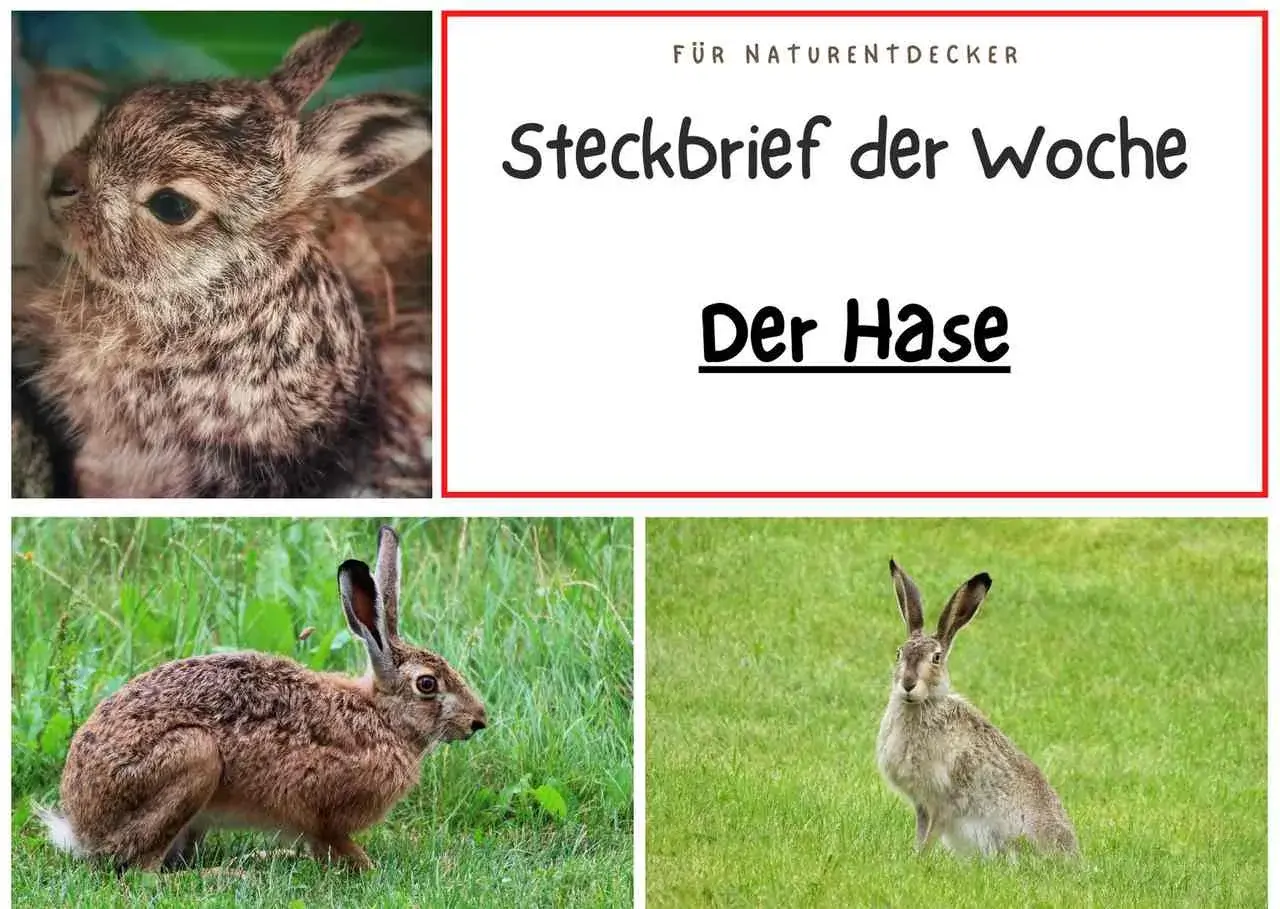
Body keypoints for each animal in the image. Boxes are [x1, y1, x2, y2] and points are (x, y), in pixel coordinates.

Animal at [35, 525, 487, 872]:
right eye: (427, 684)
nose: (479, 721)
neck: (383, 717)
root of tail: (81, 826)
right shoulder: (324, 814)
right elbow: (338, 847)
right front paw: (369, 868)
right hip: (194, 756)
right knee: (143, 871)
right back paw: (229, 874)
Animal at [875, 560, 1078, 858]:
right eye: (900, 653)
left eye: (936, 658)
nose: (908, 684)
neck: (923, 705)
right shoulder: (922, 804)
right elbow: (921, 833)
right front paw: (914, 856)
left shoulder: (943, 801)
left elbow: (931, 833)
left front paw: (920, 859)